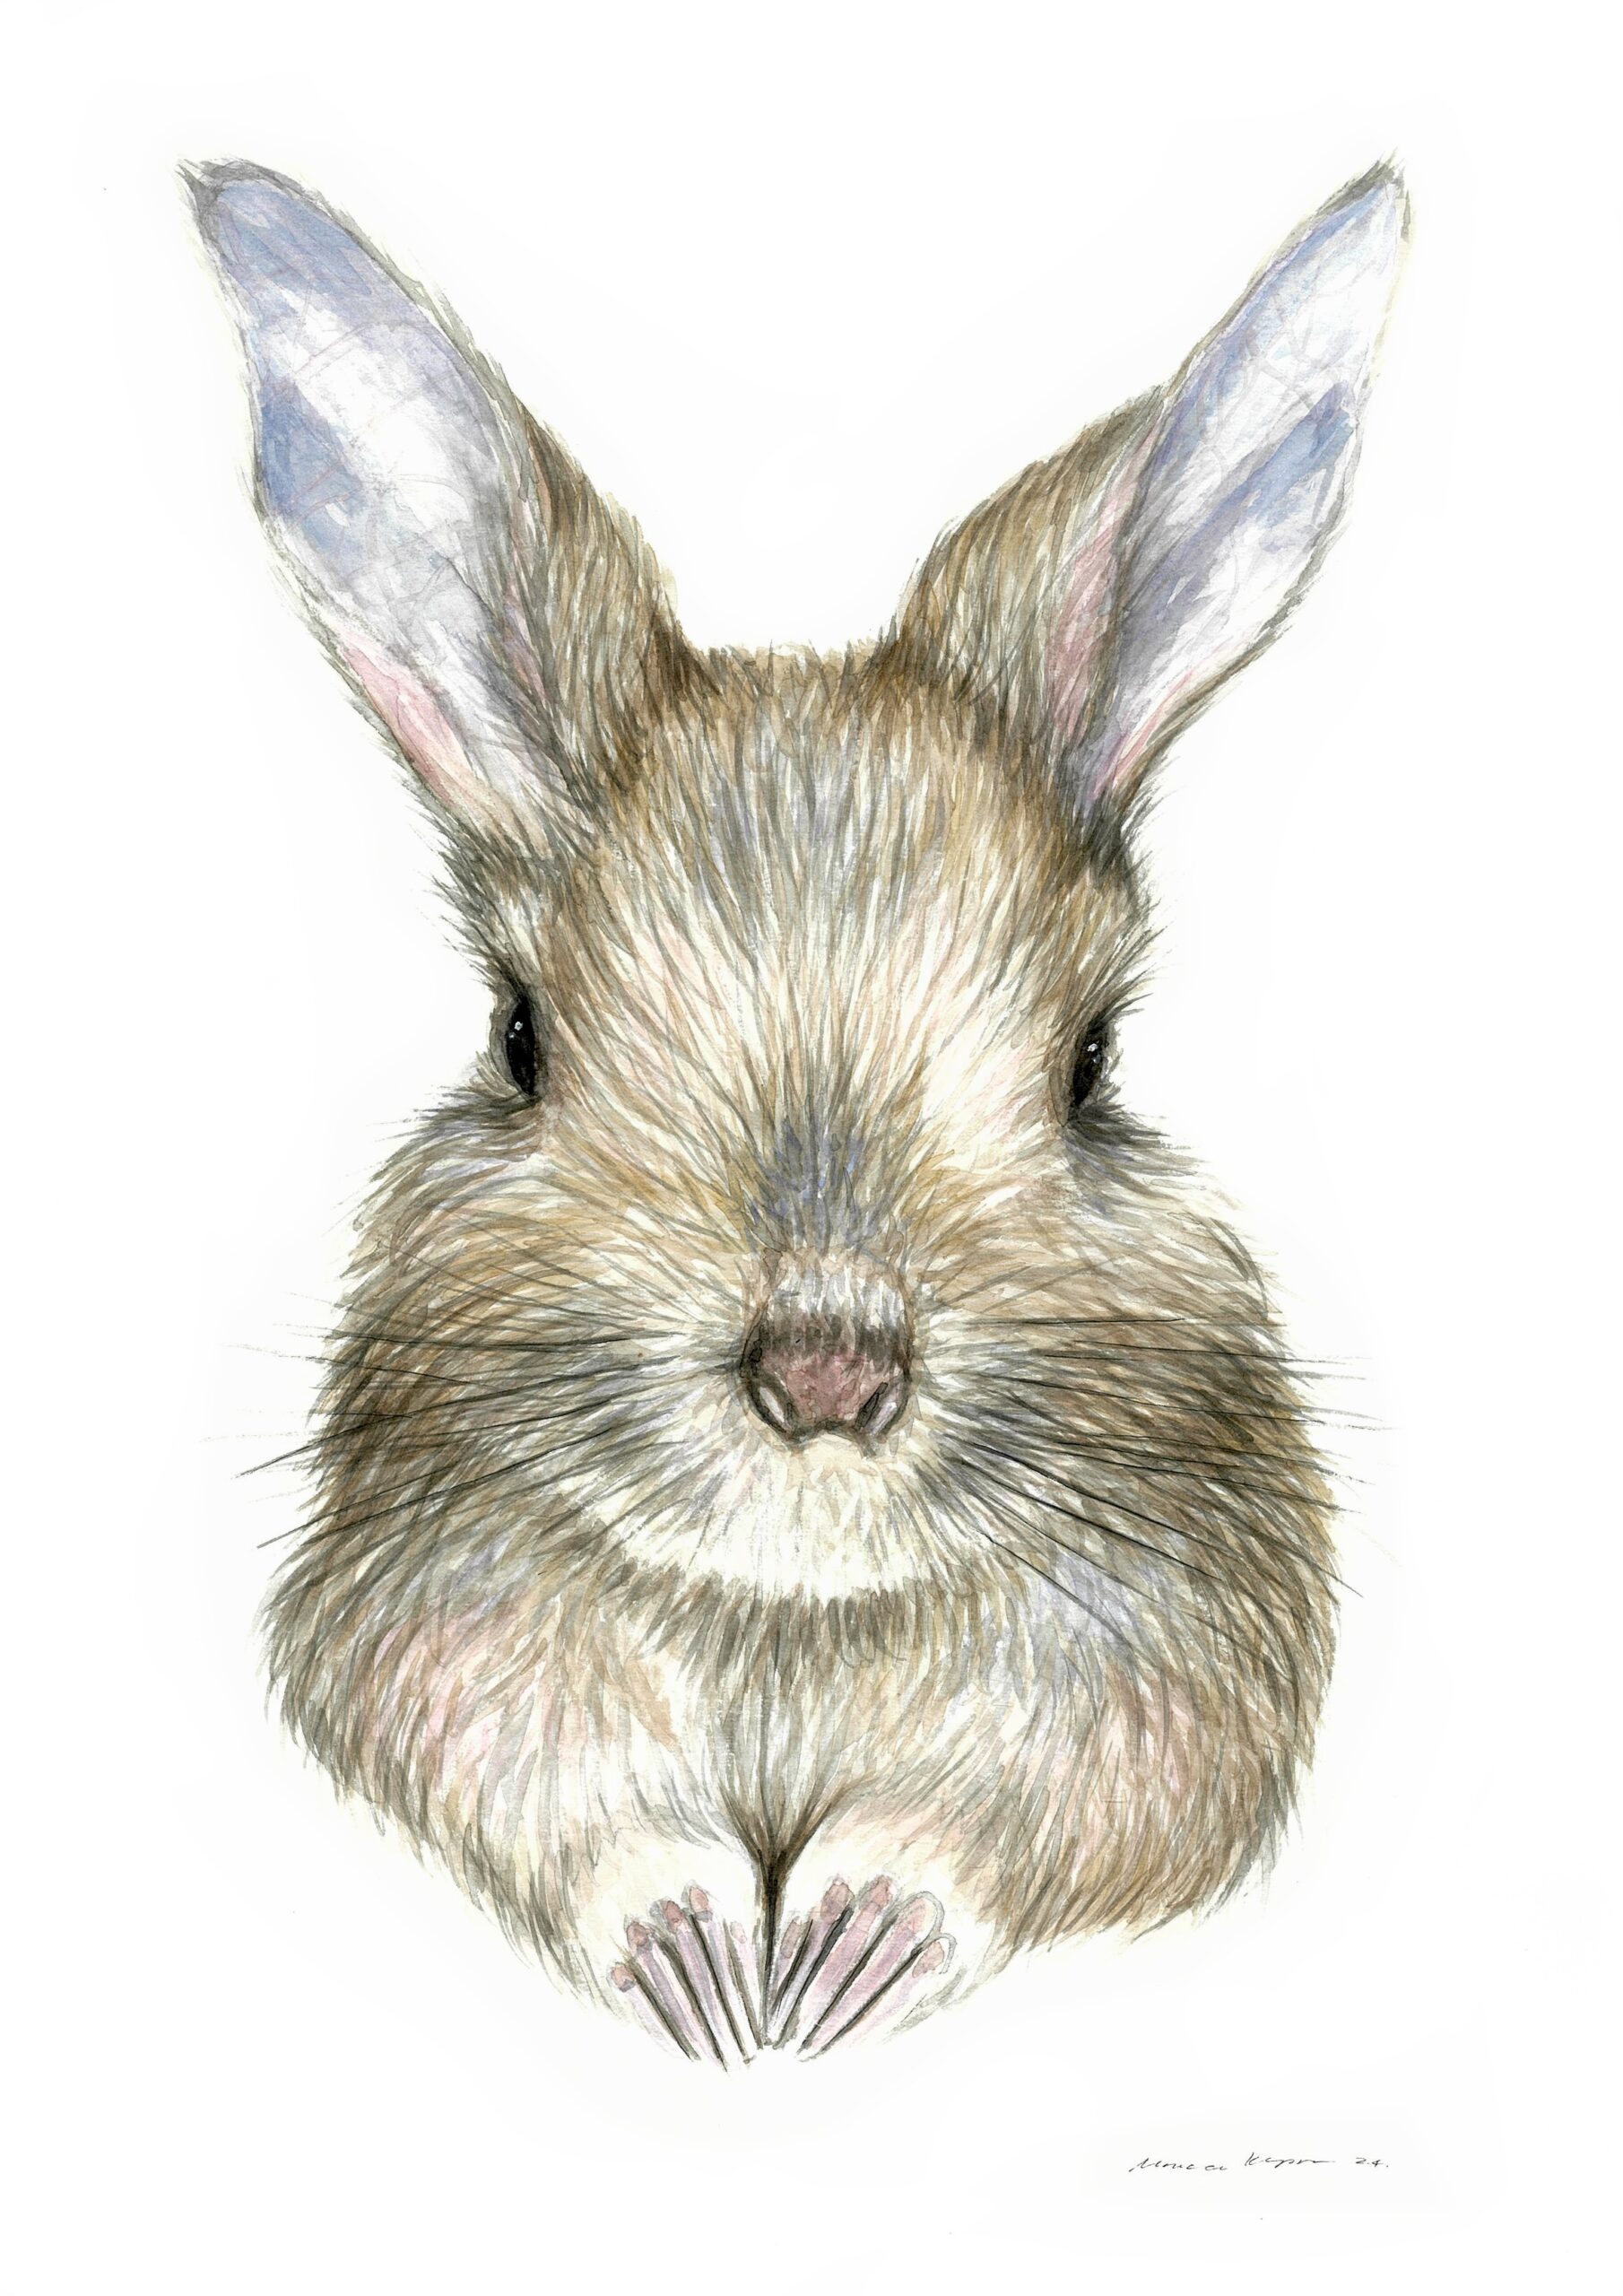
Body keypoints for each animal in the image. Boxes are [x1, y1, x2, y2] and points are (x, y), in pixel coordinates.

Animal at [191, 157, 1405, 2064]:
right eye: (519, 1035)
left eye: (1095, 1060)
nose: (828, 1376)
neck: (792, 1610)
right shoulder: (433, 1623)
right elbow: (572, 1801)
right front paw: (705, 1973)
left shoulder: (1175, 1659)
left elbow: (1013, 1810)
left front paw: (843, 1962)